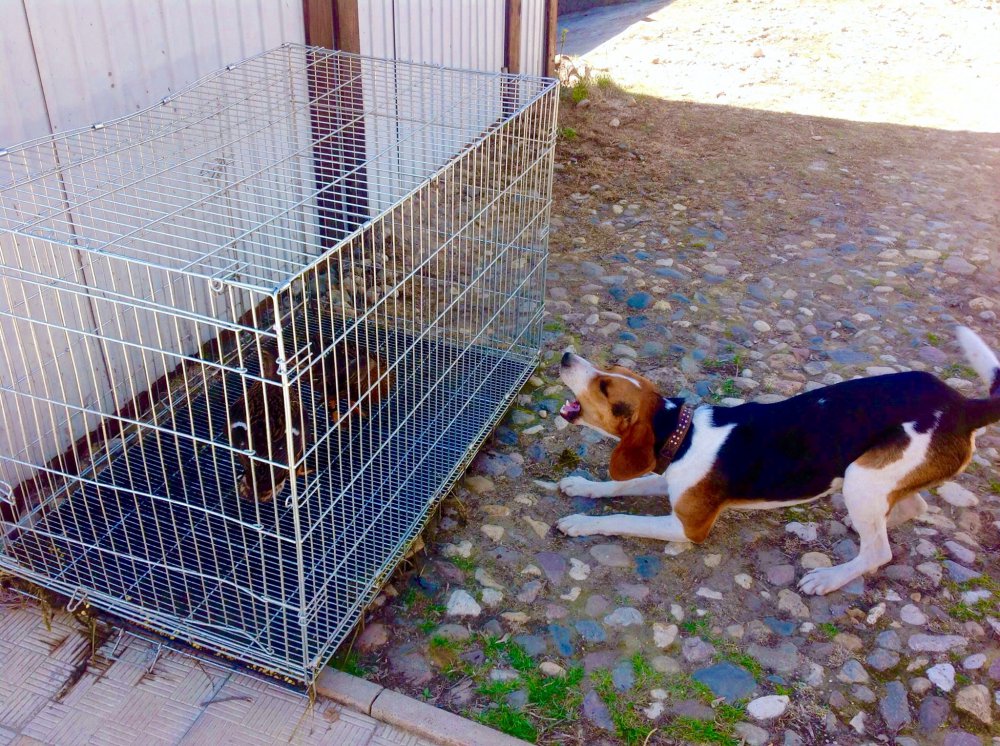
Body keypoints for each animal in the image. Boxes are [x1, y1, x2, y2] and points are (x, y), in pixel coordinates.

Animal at [555, 326, 1000, 595]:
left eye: (604, 386)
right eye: (609, 370)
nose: (565, 356)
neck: (683, 435)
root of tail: (964, 405)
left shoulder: (689, 527)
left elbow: (622, 518)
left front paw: (580, 523)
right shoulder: (666, 477)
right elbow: (622, 483)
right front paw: (583, 486)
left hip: (863, 474)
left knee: (879, 552)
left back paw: (830, 576)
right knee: (910, 508)